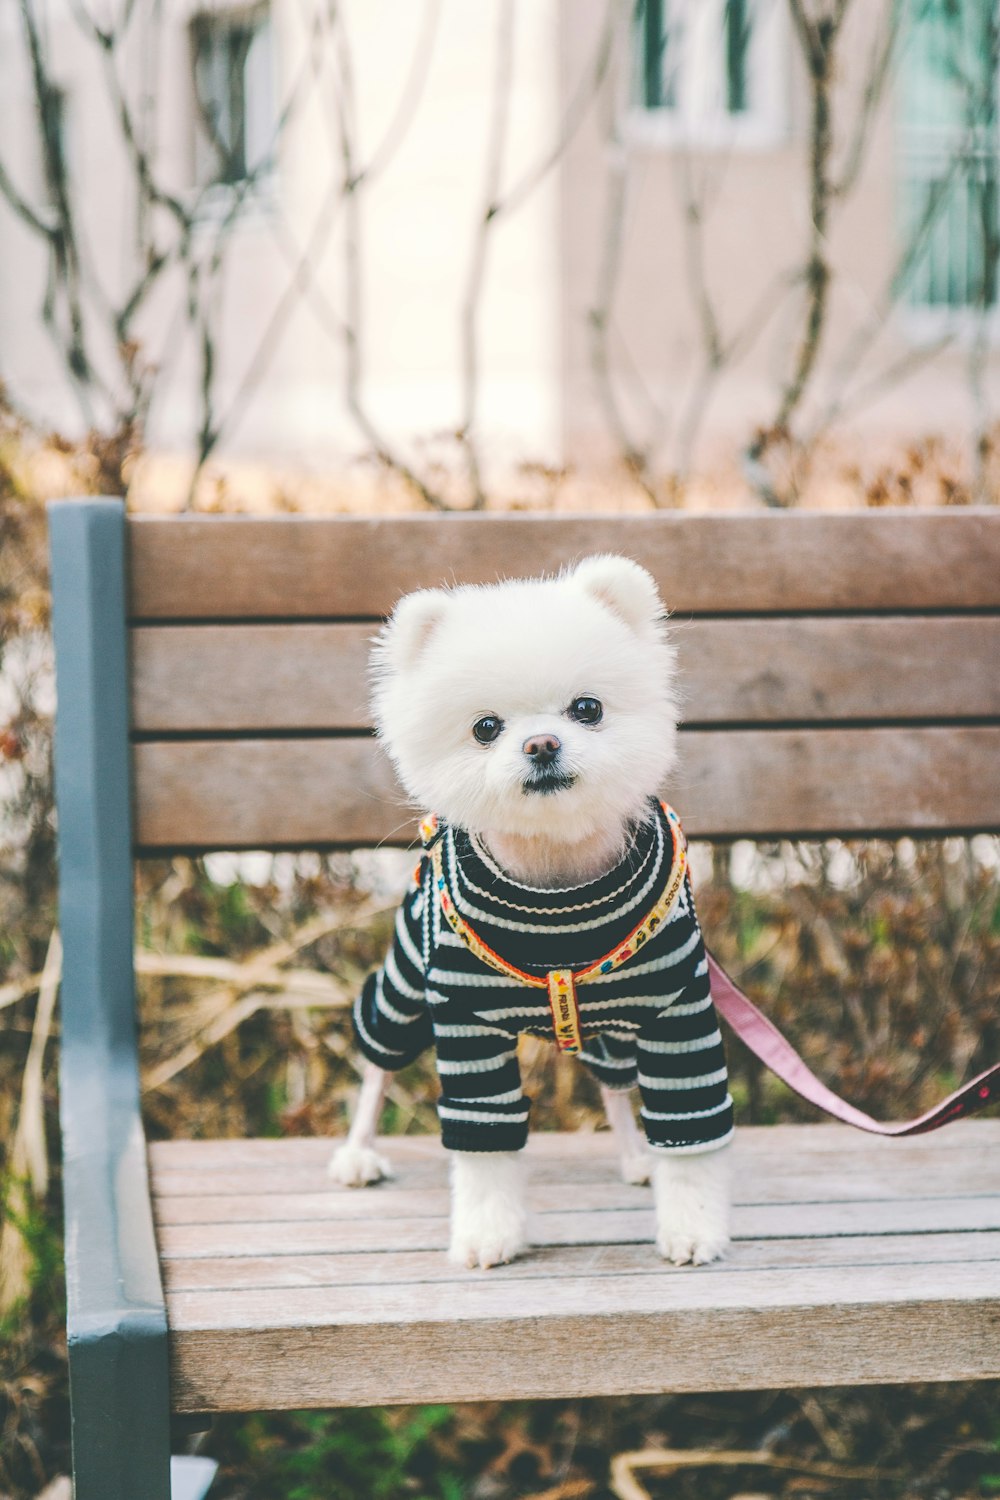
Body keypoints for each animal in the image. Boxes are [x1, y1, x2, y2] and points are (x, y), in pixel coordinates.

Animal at [332, 558, 731, 1272]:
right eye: (485, 727)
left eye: (588, 708)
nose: (542, 743)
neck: (556, 893)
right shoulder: (463, 1021)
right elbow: (485, 1150)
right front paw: (488, 1233)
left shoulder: (677, 1012)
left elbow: (692, 1141)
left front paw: (693, 1228)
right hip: (402, 993)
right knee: (377, 1063)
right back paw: (356, 1154)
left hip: (611, 1034)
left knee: (615, 1086)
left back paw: (636, 1157)